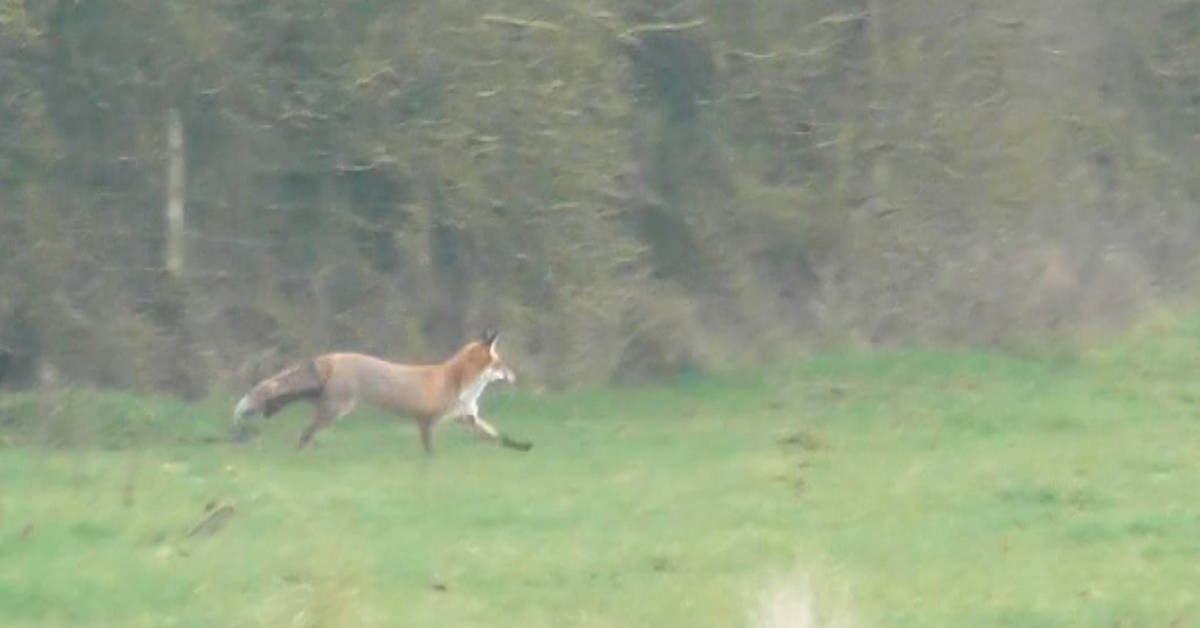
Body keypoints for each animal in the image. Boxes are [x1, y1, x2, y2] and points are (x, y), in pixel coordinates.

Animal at [232, 329, 531, 453]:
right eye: (501, 365)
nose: (515, 376)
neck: (457, 382)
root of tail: (333, 356)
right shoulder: (426, 421)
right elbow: (430, 451)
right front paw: (431, 467)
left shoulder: (468, 418)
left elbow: (499, 436)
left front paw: (522, 447)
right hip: (335, 409)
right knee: (305, 429)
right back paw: (299, 452)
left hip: (322, 399)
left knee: (286, 399)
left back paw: (270, 415)